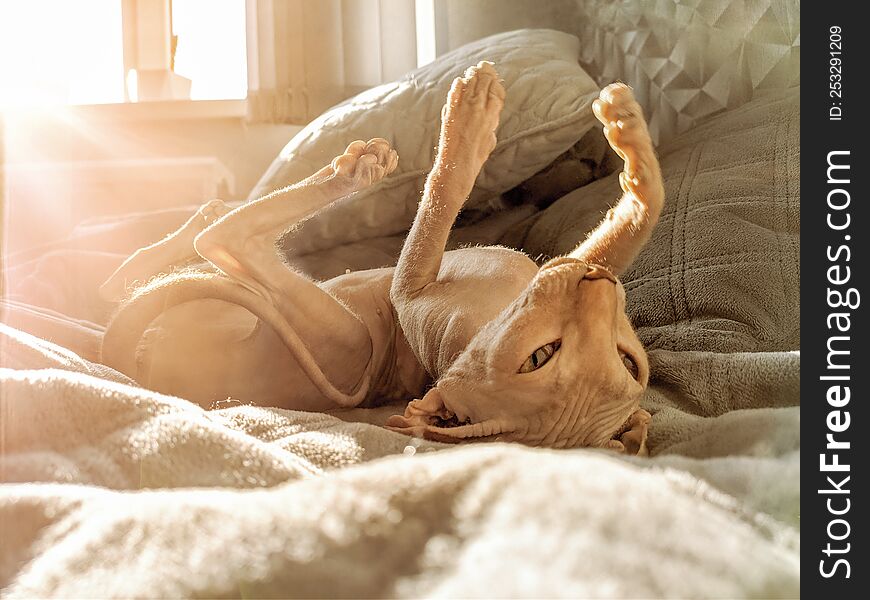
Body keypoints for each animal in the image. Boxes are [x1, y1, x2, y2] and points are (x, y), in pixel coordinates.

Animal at [99, 62, 664, 454]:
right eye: (630, 363)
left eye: (538, 358)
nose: (598, 285)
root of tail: (130, 361)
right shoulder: (564, 264)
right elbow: (638, 216)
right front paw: (630, 133)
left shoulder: (411, 290)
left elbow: (440, 193)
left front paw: (470, 121)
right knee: (143, 269)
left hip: (339, 334)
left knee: (223, 242)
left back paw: (351, 172)